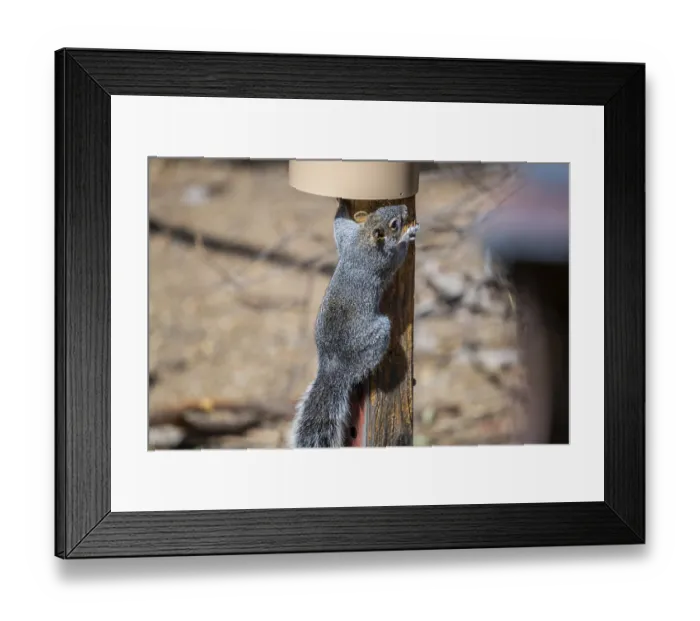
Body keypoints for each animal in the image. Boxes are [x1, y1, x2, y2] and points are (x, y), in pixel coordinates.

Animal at [289, 199, 419, 448]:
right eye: (394, 224)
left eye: (381, 209)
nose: (405, 209)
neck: (366, 237)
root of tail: (334, 365)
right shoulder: (383, 260)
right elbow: (398, 256)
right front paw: (409, 236)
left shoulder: (347, 241)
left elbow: (339, 227)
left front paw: (340, 206)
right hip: (379, 334)